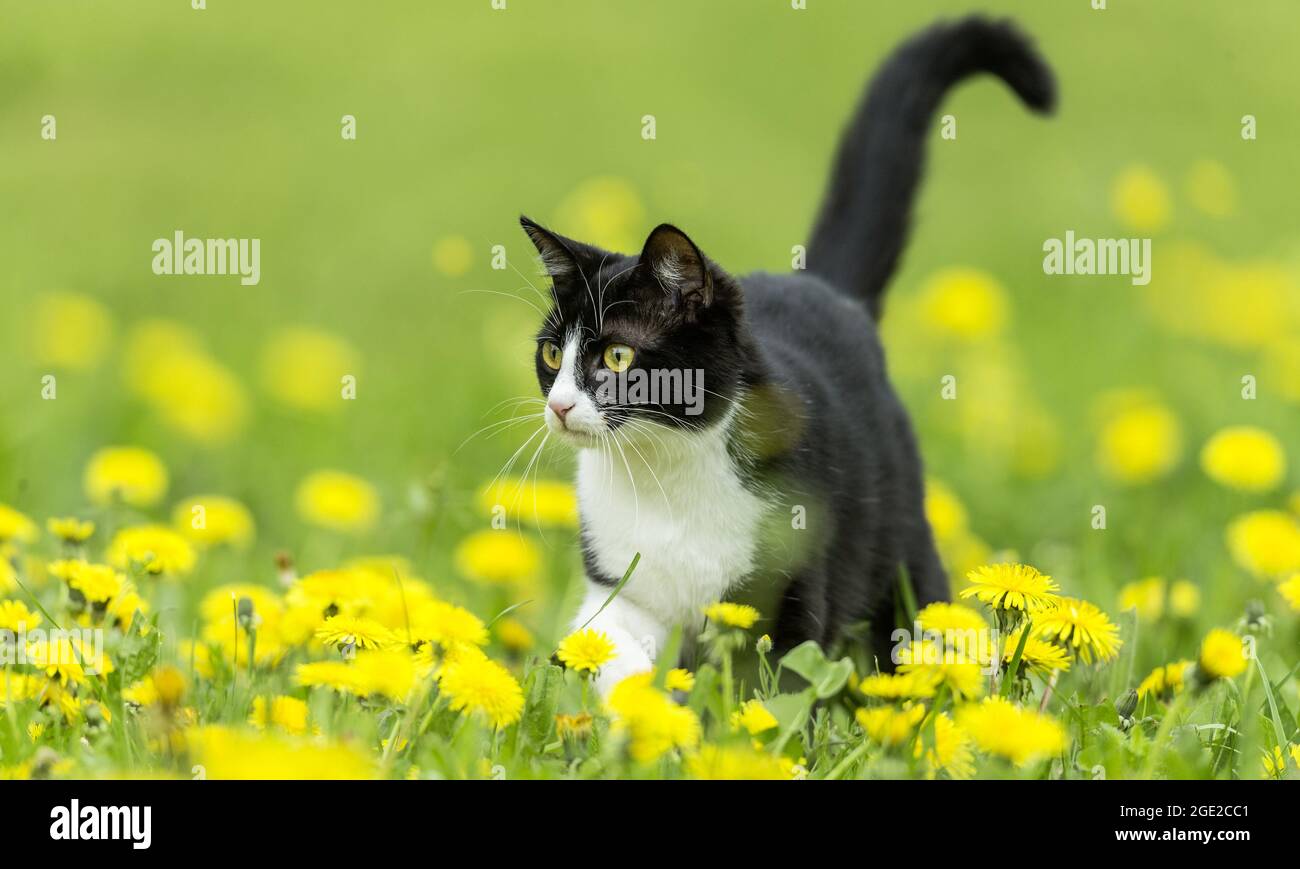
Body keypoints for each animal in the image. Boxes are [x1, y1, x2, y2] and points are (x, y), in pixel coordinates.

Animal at [512, 15, 1050, 692]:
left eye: (615, 358)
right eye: (552, 354)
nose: (559, 406)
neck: (664, 475)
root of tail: (823, 287)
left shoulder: (790, 588)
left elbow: (774, 687)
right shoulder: (619, 584)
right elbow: (604, 644)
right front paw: (642, 703)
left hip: (898, 538)